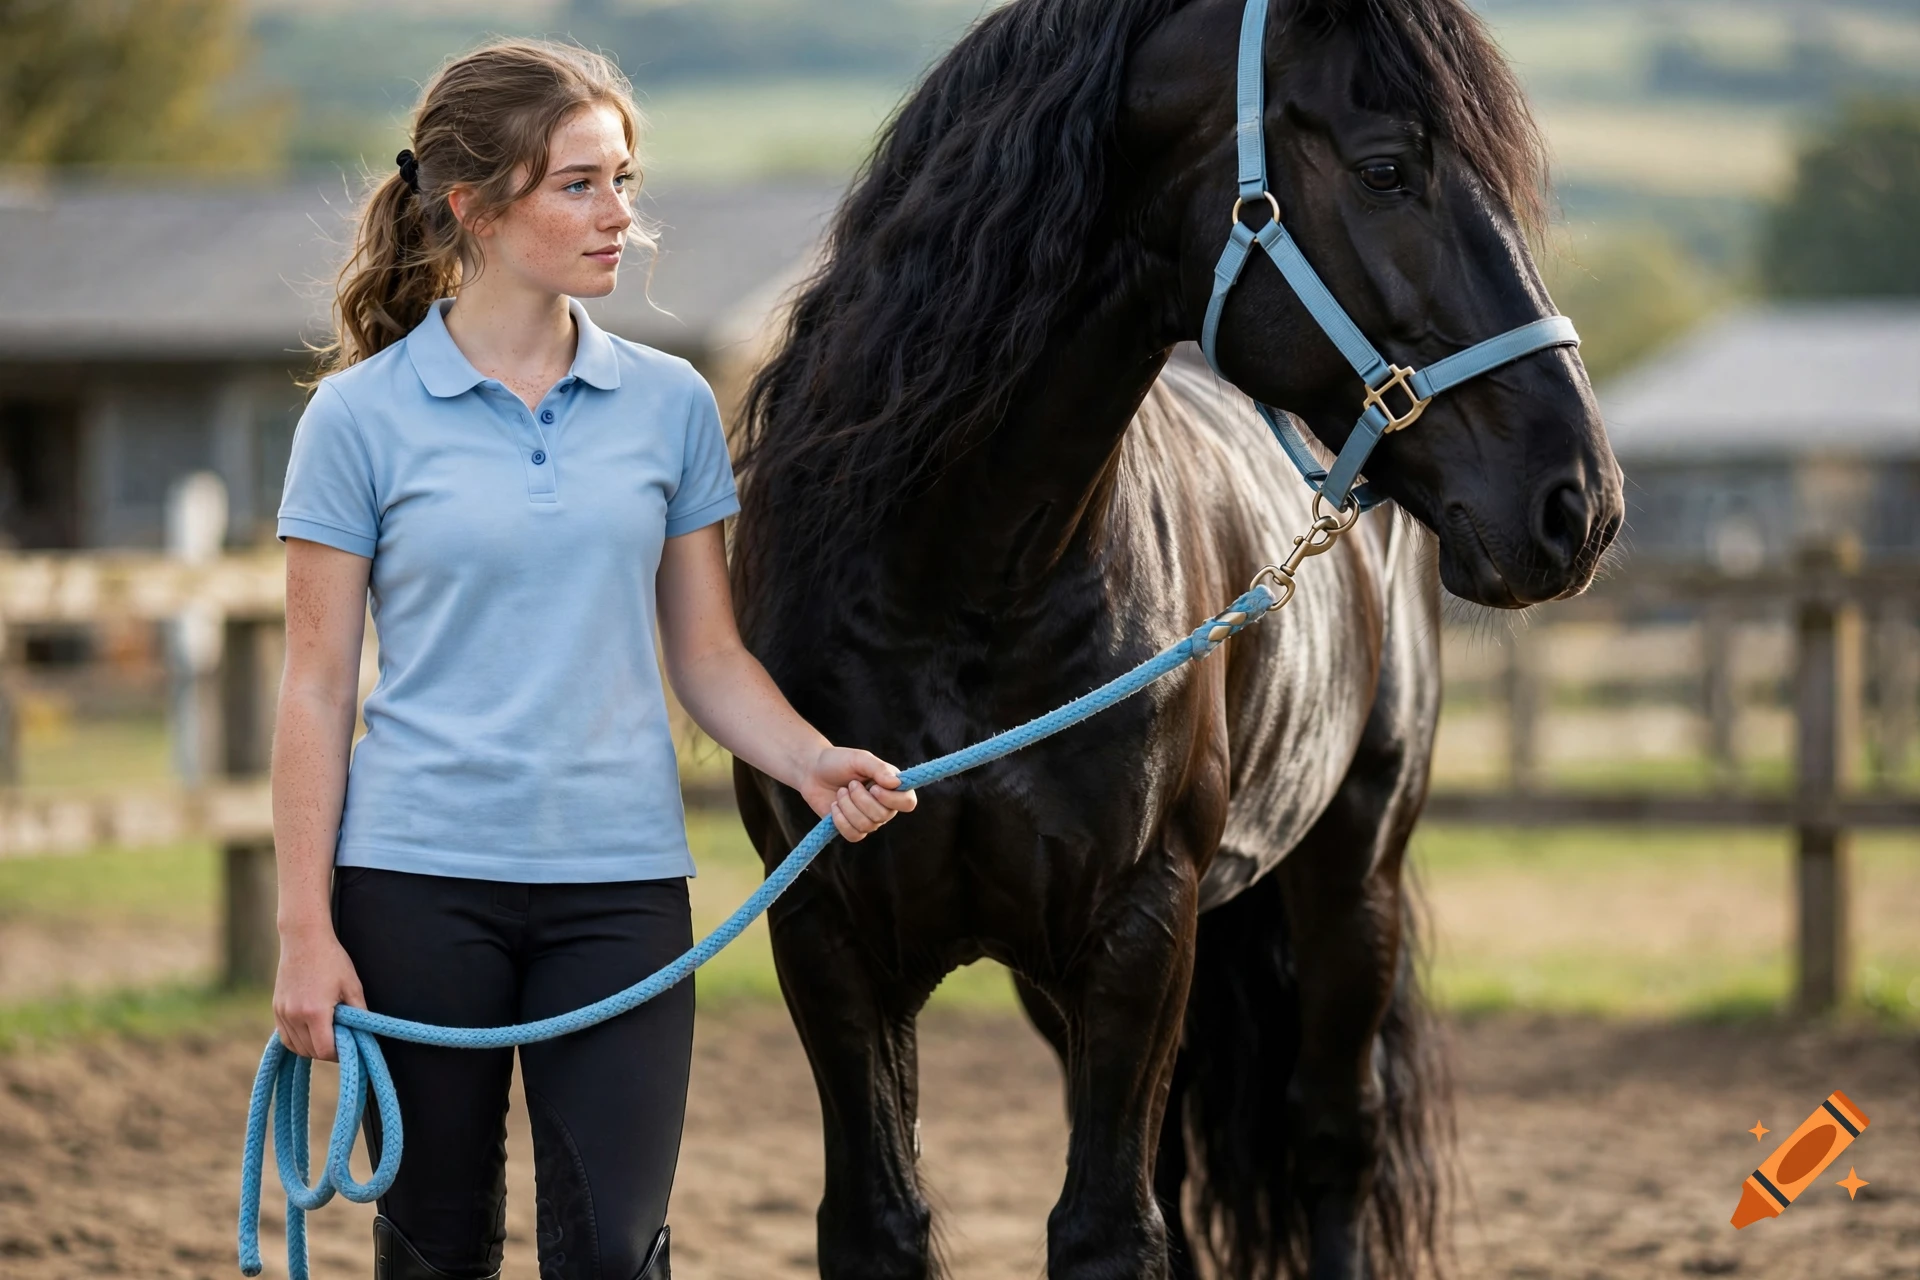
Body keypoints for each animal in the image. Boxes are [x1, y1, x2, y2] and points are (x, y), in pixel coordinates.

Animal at [729, 0, 1622, 1276]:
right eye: (1385, 169)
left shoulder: (1141, 927)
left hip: (1353, 876)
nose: (1577, 502)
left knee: (1331, 1142)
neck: (953, 586)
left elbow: (1112, 1228)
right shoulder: (826, 934)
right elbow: (886, 1224)